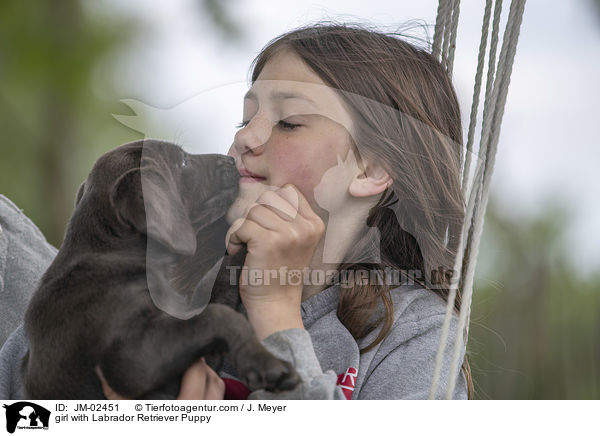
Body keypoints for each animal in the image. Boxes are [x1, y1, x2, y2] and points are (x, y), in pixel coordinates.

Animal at [22, 139, 300, 398]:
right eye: (184, 162)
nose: (231, 160)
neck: (113, 251)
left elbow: (220, 283)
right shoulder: (133, 360)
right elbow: (220, 316)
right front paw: (267, 364)